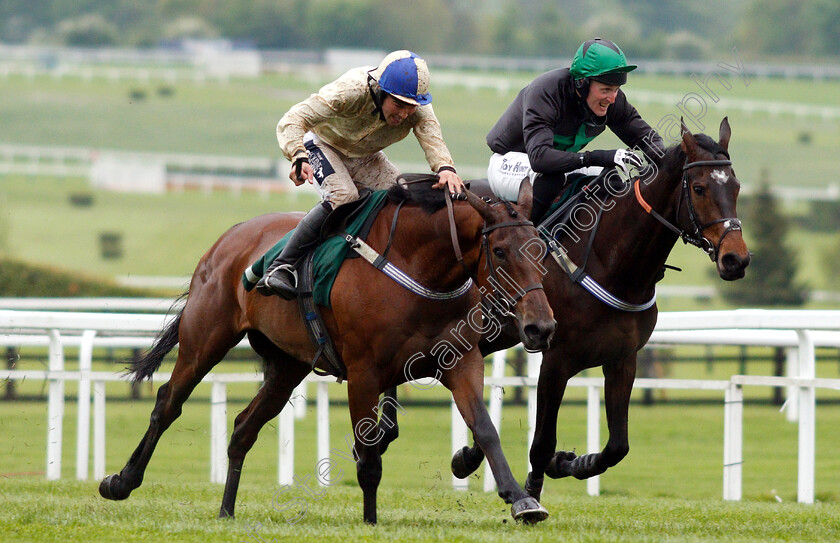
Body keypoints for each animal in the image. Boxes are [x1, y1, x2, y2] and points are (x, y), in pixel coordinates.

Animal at [100, 181, 556, 524]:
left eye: (541, 247)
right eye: (500, 251)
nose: (541, 326)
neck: (419, 269)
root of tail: (231, 235)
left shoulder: (461, 361)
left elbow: (484, 427)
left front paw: (521, 499)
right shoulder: (364, 372)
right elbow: (368, 455)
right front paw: (370, 521)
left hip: (287, 365)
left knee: (244, 427)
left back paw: (226, 511)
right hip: (205, 339)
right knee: (168, 403)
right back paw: (121, 481)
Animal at [410, 119, 752, 502]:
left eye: (736, 186)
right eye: (699, 187)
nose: (736, 259)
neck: (613, 264)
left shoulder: (622, 358)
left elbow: (618, 446)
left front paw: (569, 462)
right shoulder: (556, 360)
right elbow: (541, 443)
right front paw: (533, 489)